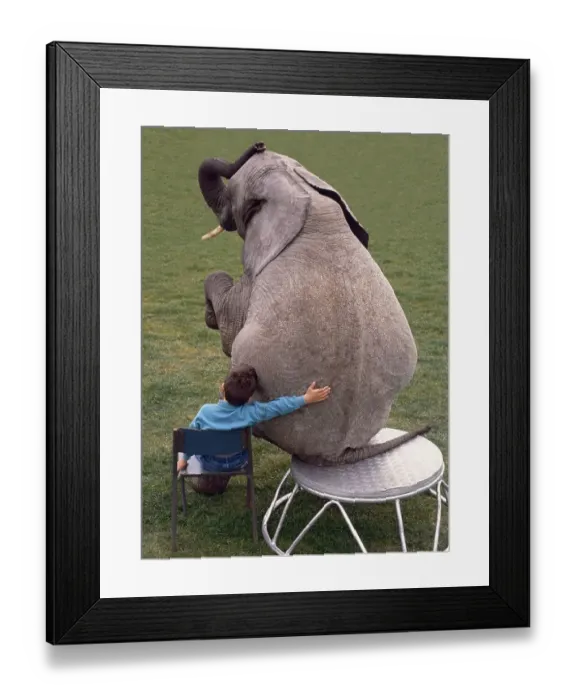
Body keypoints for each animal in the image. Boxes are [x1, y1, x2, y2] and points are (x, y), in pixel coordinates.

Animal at [196, 142, 430, 467]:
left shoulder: (256, 276)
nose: (258, 145)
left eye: (234, 198)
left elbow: (229, 329)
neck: (306, 193)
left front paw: (210, 316)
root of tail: (337, 453)